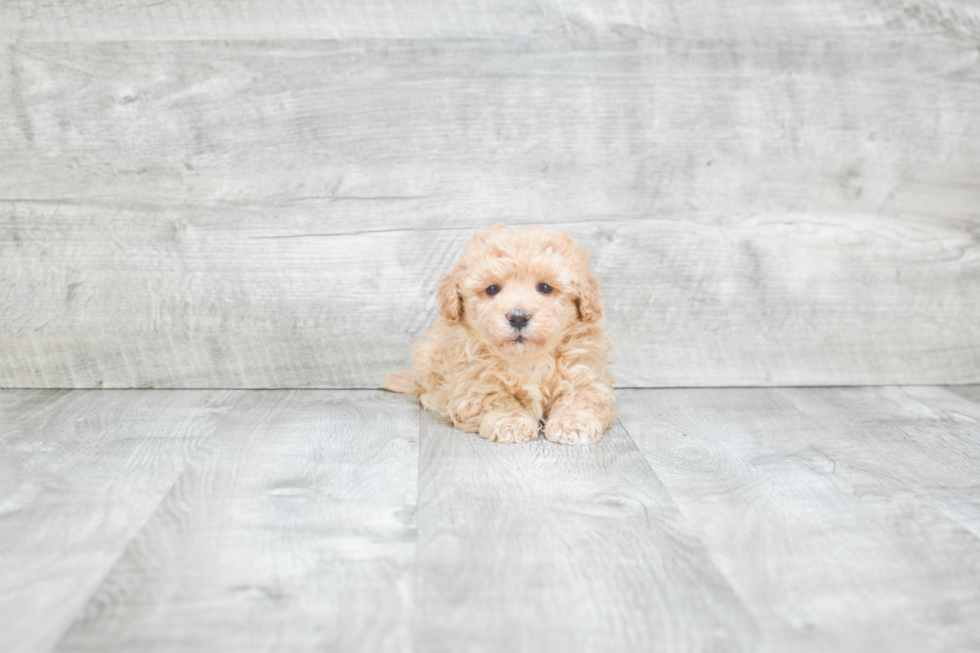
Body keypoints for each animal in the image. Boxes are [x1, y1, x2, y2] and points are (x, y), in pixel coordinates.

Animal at [380, 223, 612, 444]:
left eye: (545, 287)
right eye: (492, 289)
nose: (518, 317)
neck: (527, 359)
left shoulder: (583, 370)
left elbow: (581, 396)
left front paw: (573, 423)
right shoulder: (474, 382)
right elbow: (495, 400)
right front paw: (512, 423)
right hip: (426, 357)